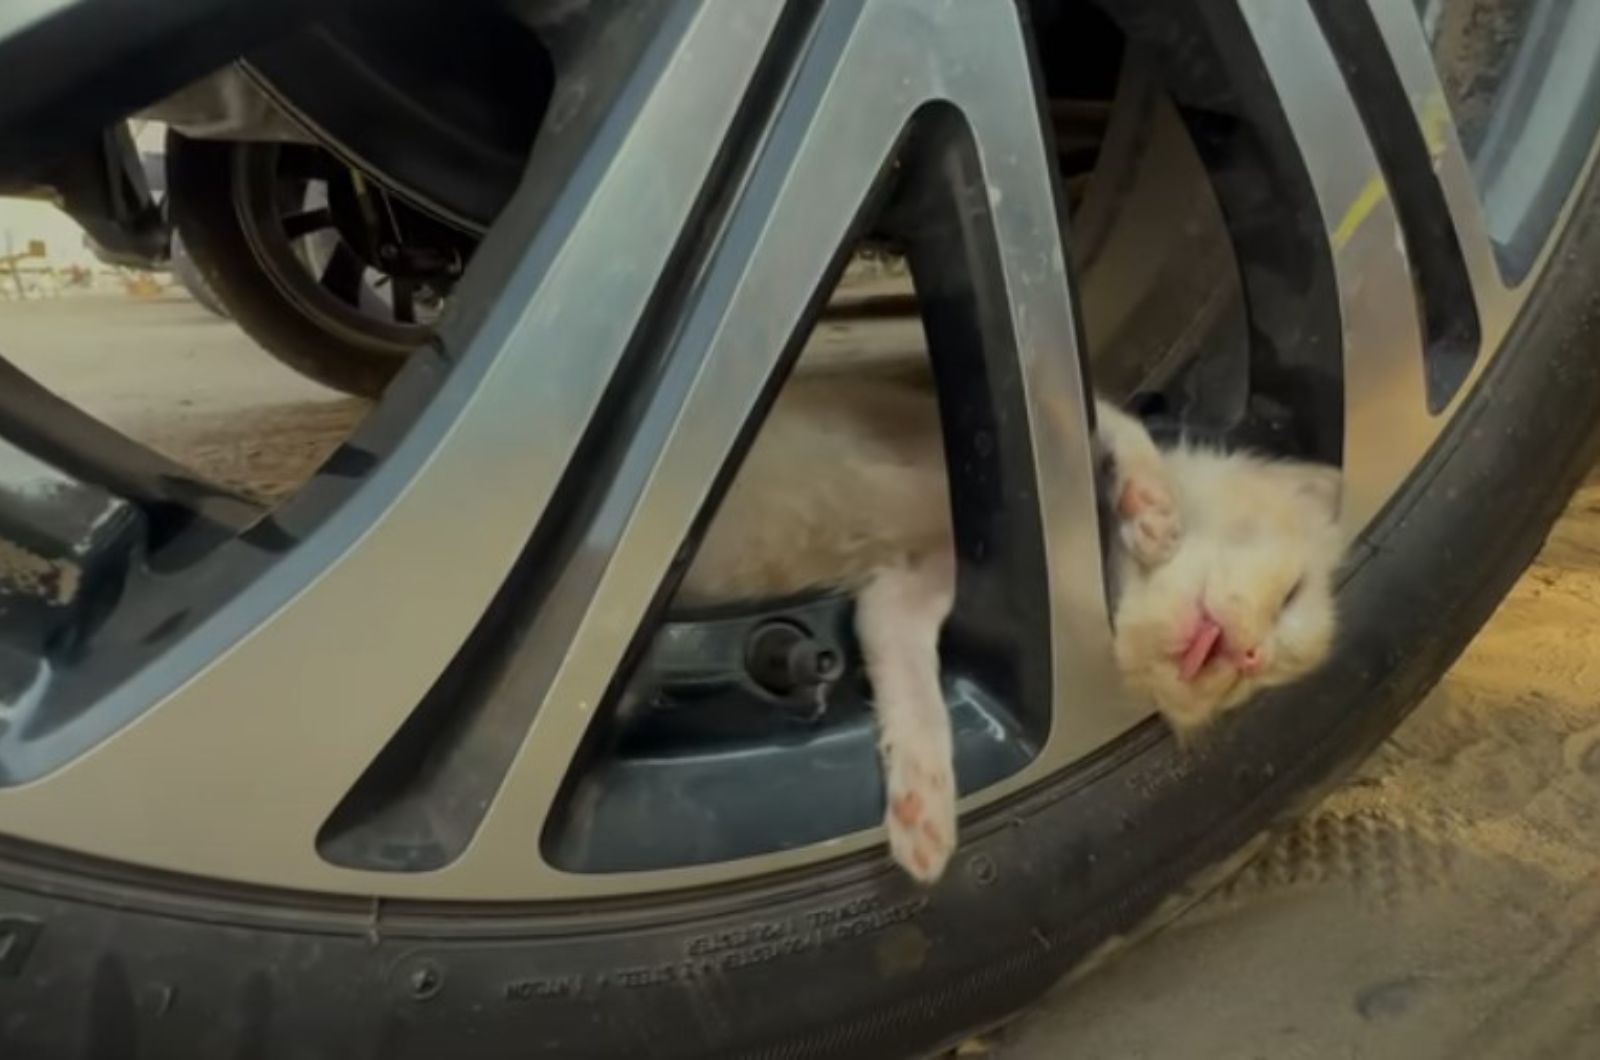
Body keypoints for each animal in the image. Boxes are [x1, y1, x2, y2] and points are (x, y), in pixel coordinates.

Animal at [668, 369, 1344, 883]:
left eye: (1239, 688)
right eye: (1290, 596)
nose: (1252, 656)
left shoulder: (911, 586)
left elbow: (906, 669)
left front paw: (923, 803)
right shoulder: (939, 419)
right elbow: (1108, 413)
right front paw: (1151, 505)